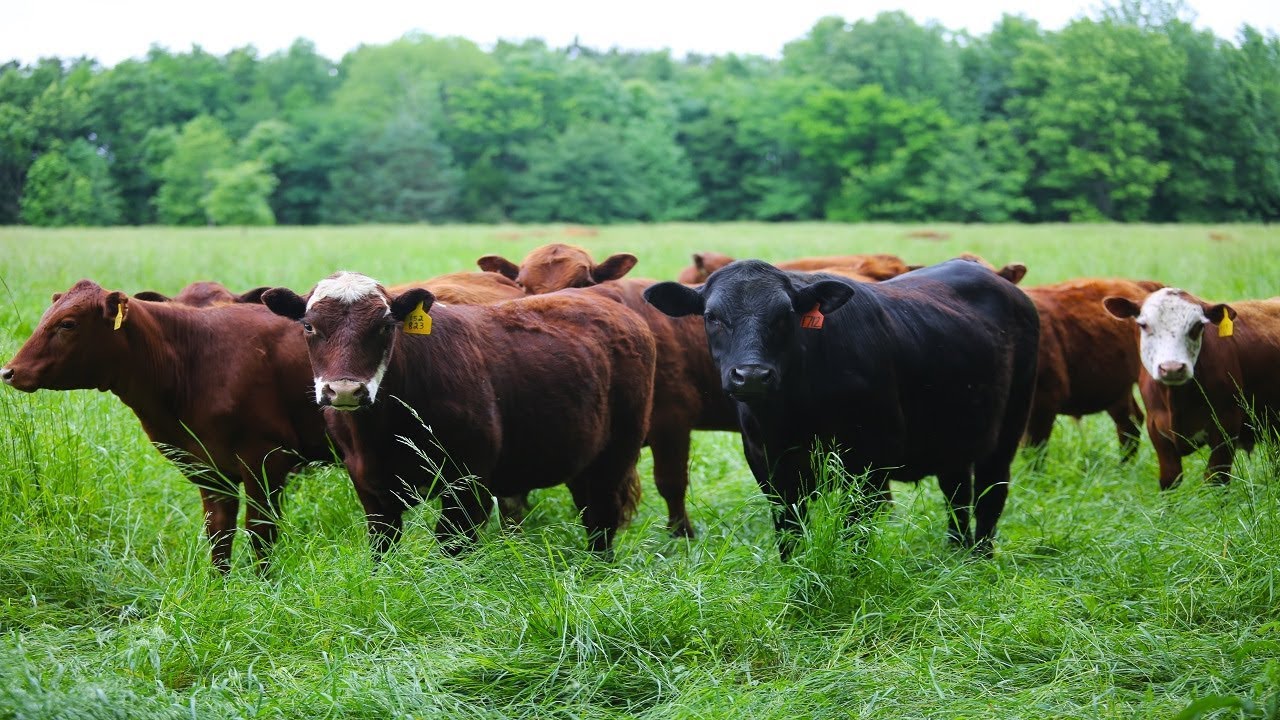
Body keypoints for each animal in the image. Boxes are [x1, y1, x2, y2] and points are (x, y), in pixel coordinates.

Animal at [1, 280, 332, 572]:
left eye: (67, 324)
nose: (9, 371)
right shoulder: (209, 469)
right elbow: (218, 534)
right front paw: (220, 587)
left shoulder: (267, 459)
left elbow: (260, 533)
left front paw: (264, 585)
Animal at [260, 271, 656, 558]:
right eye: (309, 325)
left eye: (385, 326)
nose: (344, 390)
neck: (381, 433)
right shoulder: (369, 486)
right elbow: (382, 544)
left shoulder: (468, 483)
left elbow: (452, 546)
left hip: (616, 455)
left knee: (602, 517)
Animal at [644, 259, 1040, 557]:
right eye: (712, 316)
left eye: (786, 314)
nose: (752, 375)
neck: (794, 411)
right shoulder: (769, 465)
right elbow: (790, 534)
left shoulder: (870, 464)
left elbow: (853, 533)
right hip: (953, 439)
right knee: (957, 494)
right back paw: (956, 551)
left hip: (1007, 431)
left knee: (991, 494)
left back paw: (979, 557)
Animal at [1103, 288, 1280, 489]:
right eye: (1144, 325)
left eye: (1197, 326)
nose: (1172, 368)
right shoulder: (1156, 427)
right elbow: (1170, 478)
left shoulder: (1227, 424)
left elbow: (1215, 477)